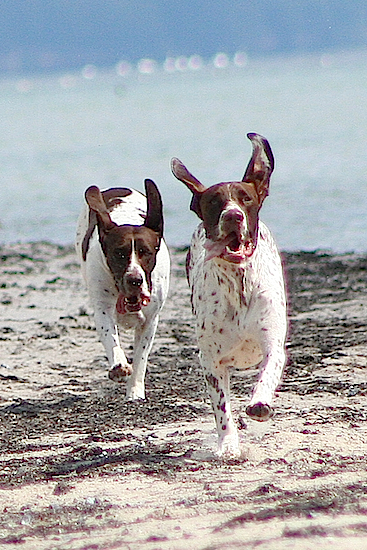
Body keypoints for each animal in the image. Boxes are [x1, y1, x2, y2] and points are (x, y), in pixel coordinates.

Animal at [77, 181, 172, 402]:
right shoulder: (102, 310)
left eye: (145, 252)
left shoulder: (150, 321)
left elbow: (141, 358)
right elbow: (110, 338)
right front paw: (119, 366)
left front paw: (135, 391)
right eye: (119, 253)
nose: (135, 279)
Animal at [171, 135, 288, 462]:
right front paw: (228, 444)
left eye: (245, 199)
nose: (233, 215)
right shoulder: (211, 362)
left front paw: (259, 403)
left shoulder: (273, 344)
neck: (239, 284)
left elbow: (267, 373)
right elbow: (222, 409)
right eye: (214, 202)